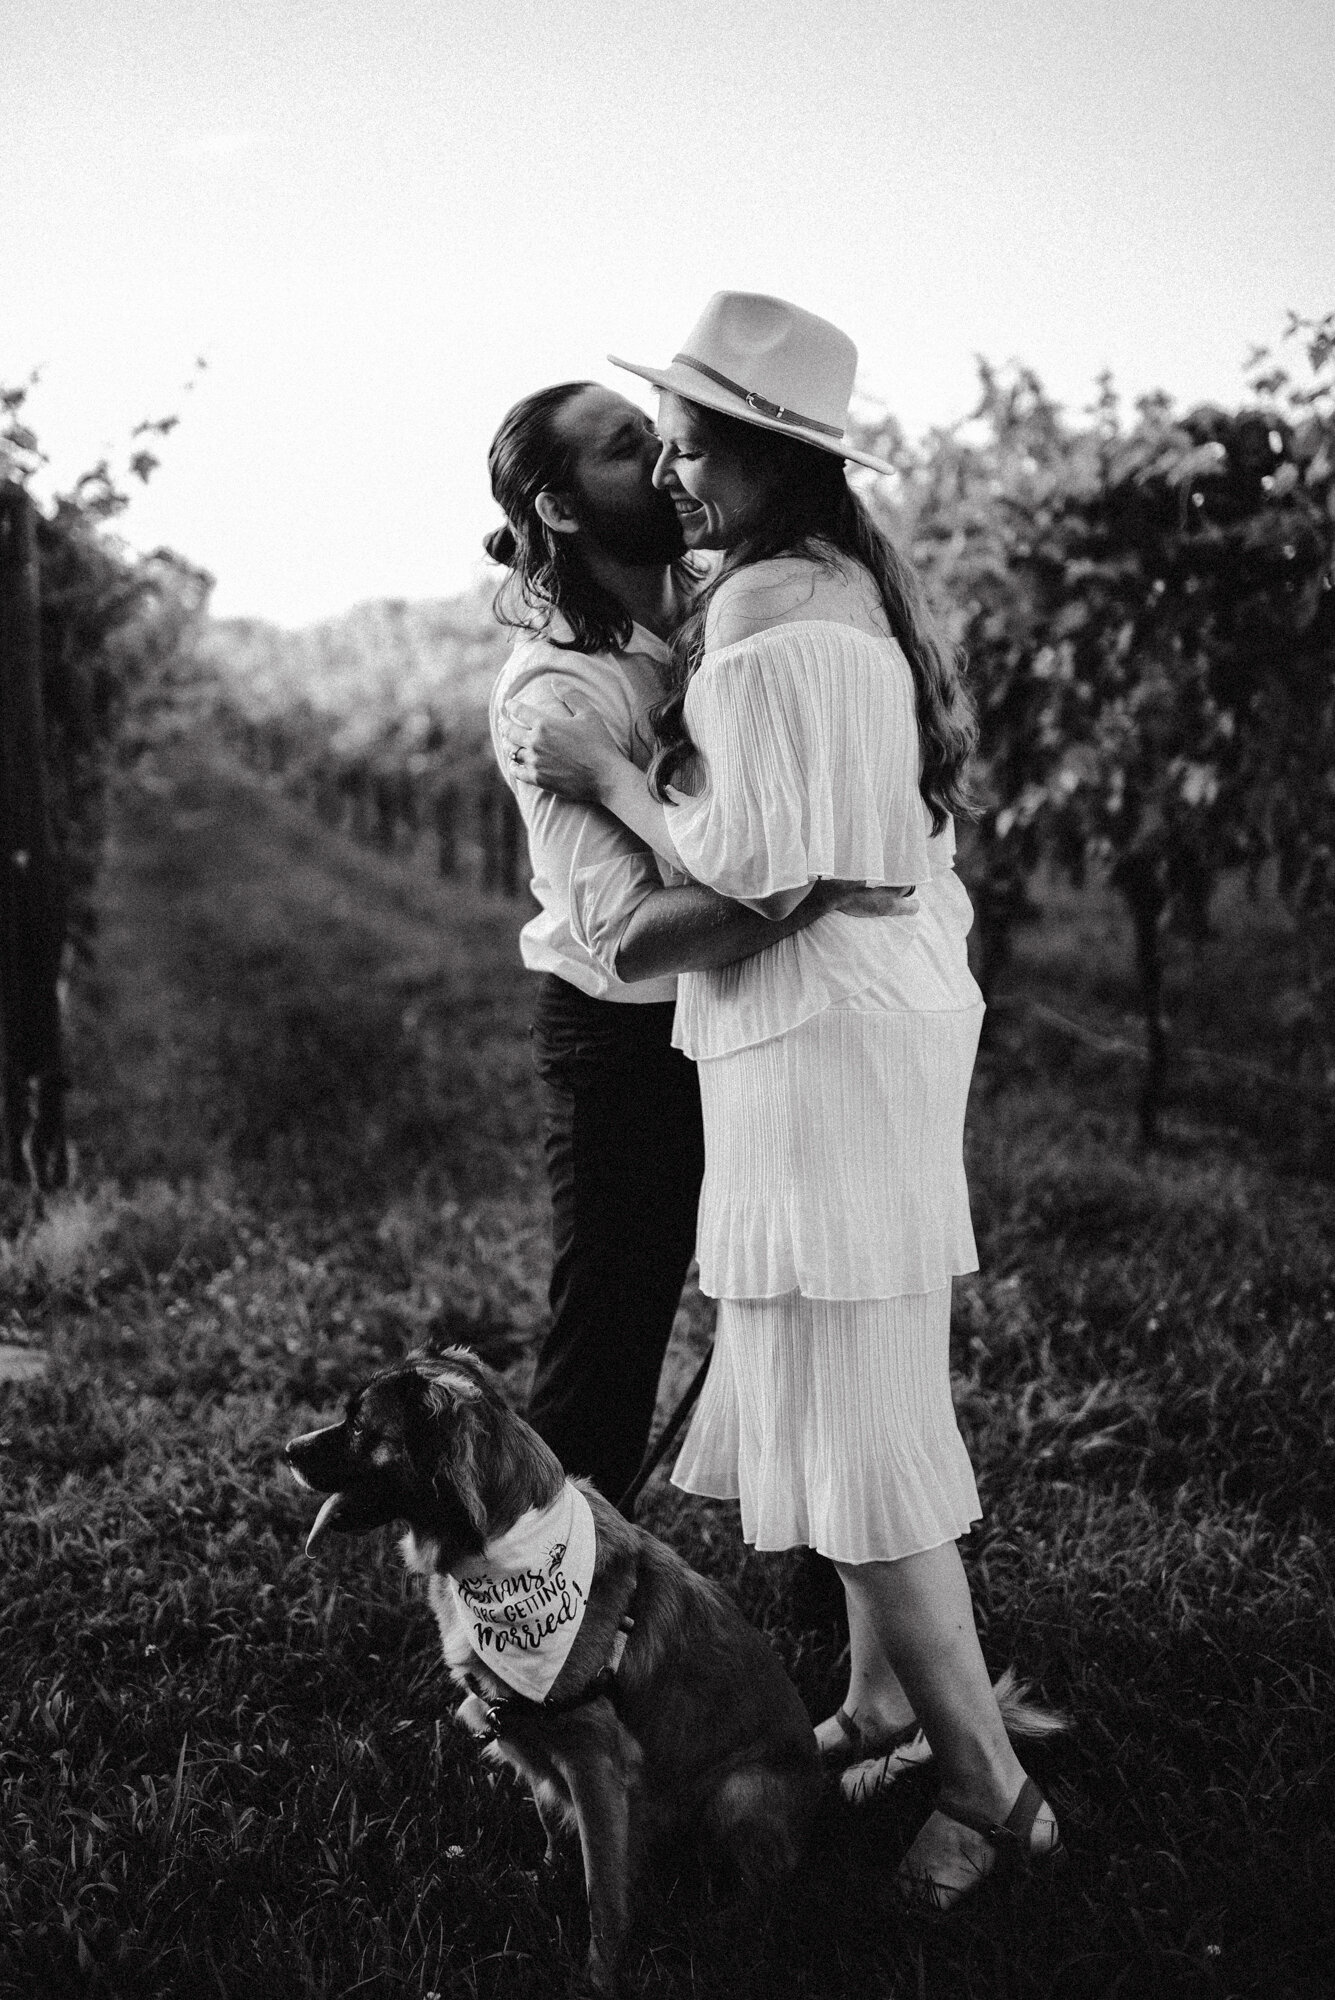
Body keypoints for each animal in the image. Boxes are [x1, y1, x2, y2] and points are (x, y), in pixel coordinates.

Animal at [289, 1352, 823, 1992]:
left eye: (360, 1428)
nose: (288, 1450)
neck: (501, 1554)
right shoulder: (531, 1741)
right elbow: (548, 1815)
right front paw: (544, 1877)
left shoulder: (596, 1765)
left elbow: (605, 1894)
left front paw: (600, 1976)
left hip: (741, 1791)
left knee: (763, 1892)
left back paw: (720, 1931)